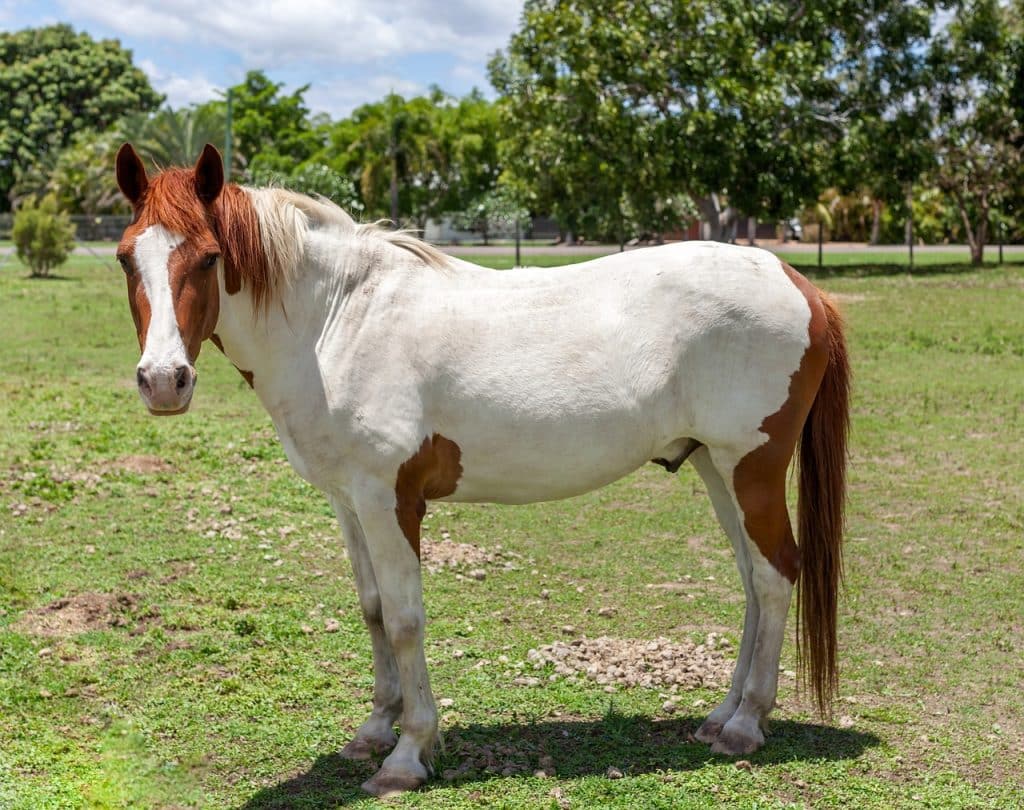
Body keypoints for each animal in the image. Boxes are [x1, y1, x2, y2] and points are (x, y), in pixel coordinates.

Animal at [114, 143, 850, 797]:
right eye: (126, 258)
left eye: (209, 257)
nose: (163, 381)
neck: (339, 321)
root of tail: (798, 284)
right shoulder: (349, 501)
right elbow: (373, 610)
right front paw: (374, 731)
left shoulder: (391, 501)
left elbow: (405, 619)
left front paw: (408, 754)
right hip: (715, 469)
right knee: (753, 579)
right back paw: (721, 716)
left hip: (751, 467)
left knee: (775, 574)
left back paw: (746, 725)